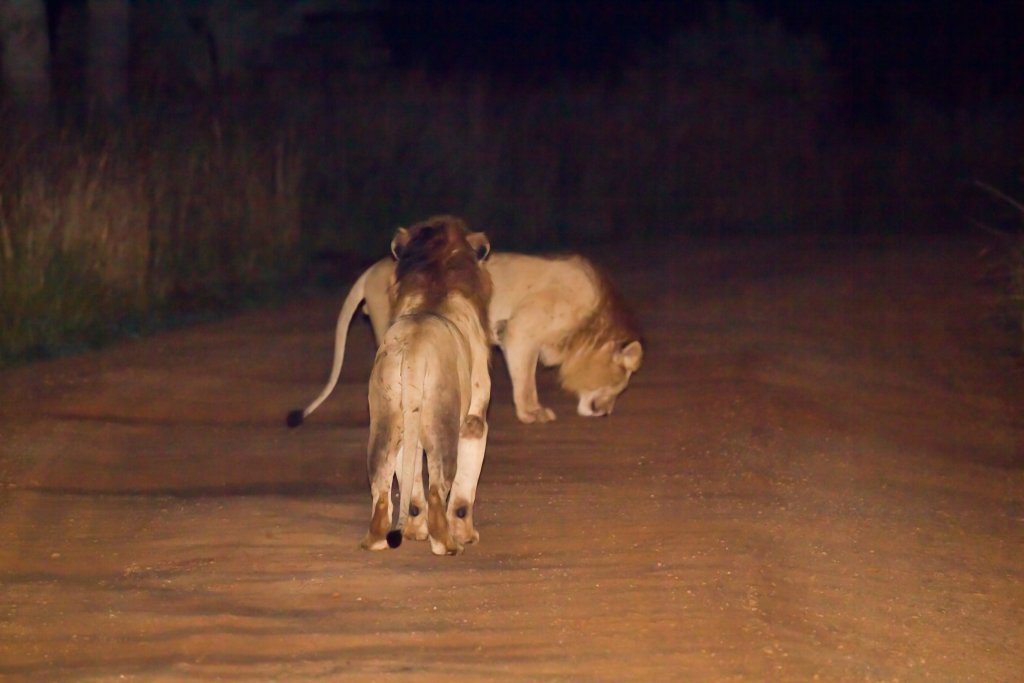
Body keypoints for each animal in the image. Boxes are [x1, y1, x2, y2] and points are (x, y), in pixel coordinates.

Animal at [288, 252, 642, 426]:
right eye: (617, 386)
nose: (606, 412)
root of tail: (371, 269)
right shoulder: (520, 331)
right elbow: (526, 380)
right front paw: (532, 414)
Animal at [357, 215, 492, 555]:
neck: (436, 278)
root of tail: (415, 350)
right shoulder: (475, 421)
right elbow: (462, 495)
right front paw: (466, 534)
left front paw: (415, 532)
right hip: (444, 423)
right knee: (438, 490)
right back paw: (447, 544)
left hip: (387, 417)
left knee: (383, 487)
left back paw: (377, 540)